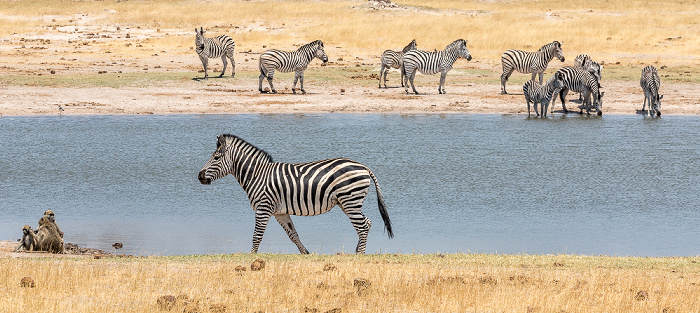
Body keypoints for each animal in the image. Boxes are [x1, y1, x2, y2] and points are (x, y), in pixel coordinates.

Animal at [197, 134, 394, 254]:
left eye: (216, 158)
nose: (199, 176)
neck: (257, 175)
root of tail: (364, 166)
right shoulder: (280, 212)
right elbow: (293, 235)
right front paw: (305, 253)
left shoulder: (263, 208)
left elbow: (257, 235)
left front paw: (251, 256)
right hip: (347, 203)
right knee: (367, 223)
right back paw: (358, 251)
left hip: (350, 200)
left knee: (362, 226)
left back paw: (359, 254)